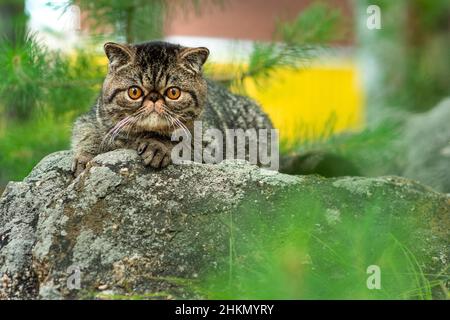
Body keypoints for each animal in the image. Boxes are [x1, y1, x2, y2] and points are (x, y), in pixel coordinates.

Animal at [71, 41, 272, 176]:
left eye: (173, 92)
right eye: (134, 92)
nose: (153, 98)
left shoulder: (211, 145)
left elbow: (183, 142)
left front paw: (159, 146)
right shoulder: (90, 119)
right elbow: (88, 134)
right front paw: (86, 157)